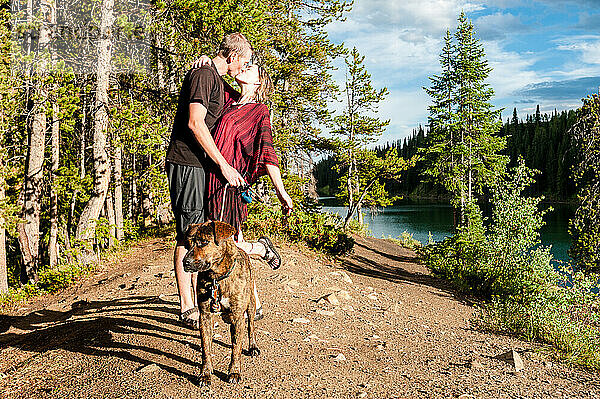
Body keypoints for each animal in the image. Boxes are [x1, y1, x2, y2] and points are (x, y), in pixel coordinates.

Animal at [182, 220, 258, 386]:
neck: (217, 277)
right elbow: (206, 347)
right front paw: (205, 373)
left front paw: (234, 372)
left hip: (251, 304)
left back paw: (253, 347)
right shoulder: (205, 315)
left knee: (250, 327)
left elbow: (236, 348)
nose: (185, 262)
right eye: (188, 244)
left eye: (204, 242)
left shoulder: (237, 316)